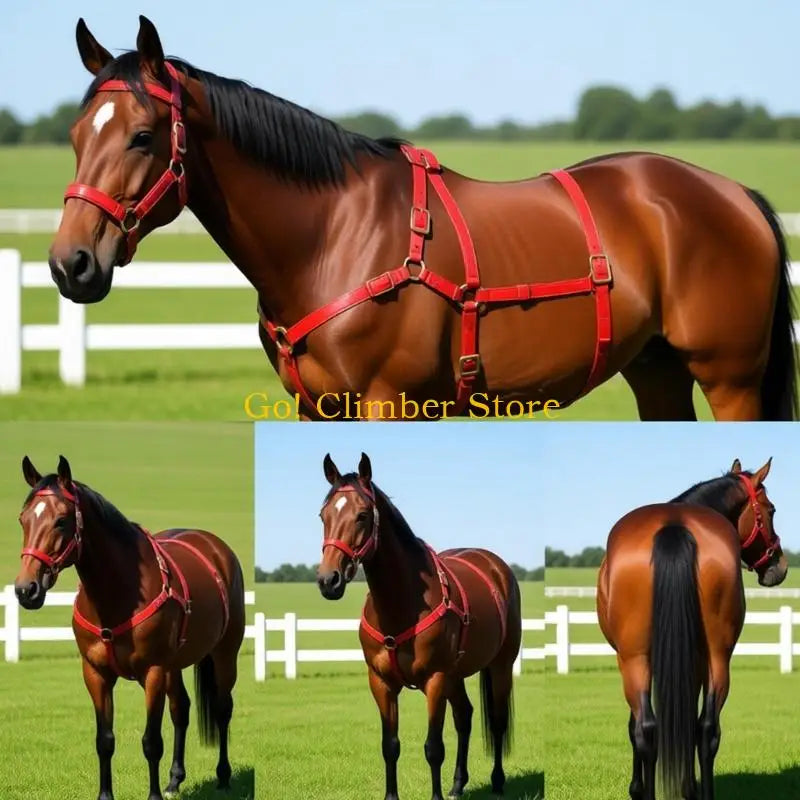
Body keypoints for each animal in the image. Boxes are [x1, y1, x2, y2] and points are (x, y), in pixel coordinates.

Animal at [13, 456, 246, 800]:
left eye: (61, 521)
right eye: (23, 519)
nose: (26, 589)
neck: (117, 596)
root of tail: (215, 547)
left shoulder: (153, 672)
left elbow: (151, 742)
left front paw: (153, 795)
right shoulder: (96, 674)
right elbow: (105, 741)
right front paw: (106, 795)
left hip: (224, 654)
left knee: (221, 708)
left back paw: (224, 775)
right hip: (174, 665)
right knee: (181, 709)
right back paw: (175, 780)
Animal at [47, 16, 795, 421]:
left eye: (143, 135)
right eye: (77, 134)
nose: (70, 263)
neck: (334, 236)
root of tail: (734, 194)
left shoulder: (390, 401)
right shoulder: (314, 407)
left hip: (730, 378)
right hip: (658, 371)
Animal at [316, 453, 522, 799]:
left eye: (362, 515)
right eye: (323, 515)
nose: (328, 580)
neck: (402, 605)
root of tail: (496, 566)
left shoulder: (435, 680)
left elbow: (433, 748)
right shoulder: (381, 682)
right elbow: (390, 746)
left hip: (499, 665)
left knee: (496, 720)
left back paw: (497, 781)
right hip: (456, 674)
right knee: (465, 717)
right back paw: (457, 784)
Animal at [596, 458, 787, 800]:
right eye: (772, 509)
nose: (779, 566)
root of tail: (675, 527)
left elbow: (636, 724)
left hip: (636, 659)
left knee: (648, 728)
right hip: (714, 656)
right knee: (705, 729)